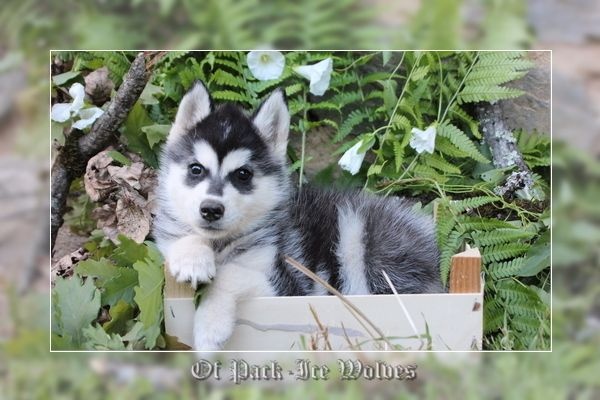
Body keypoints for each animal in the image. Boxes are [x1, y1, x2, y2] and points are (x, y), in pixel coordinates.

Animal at [152, 82, 440, 350]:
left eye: (243, 174)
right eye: (196, 169)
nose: (211, 209)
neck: (220, 245)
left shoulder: (285, 286)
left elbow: (230, 273)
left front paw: (210, 327)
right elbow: (185, 240)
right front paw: (193, 259)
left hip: (362, 241)